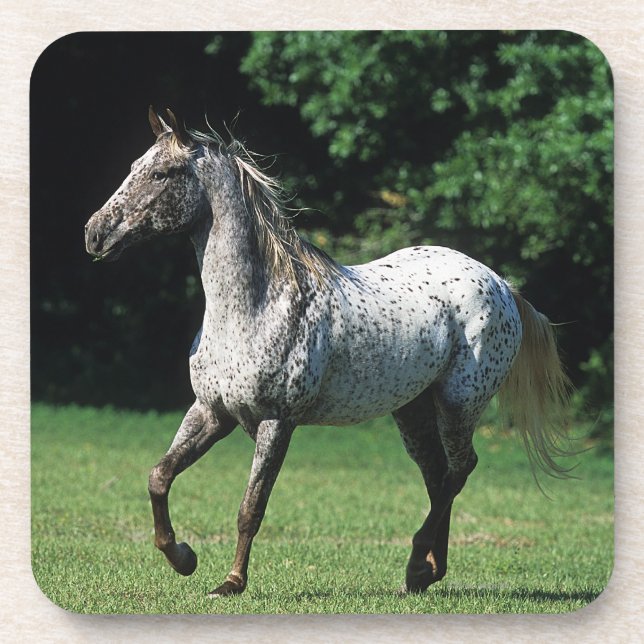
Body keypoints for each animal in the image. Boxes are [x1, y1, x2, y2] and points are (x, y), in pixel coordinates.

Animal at [84, 107, 571, 597]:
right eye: (134, 166)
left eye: (162, 173)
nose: (94, 234)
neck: (254, 305)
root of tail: (501, 284)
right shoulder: (211, 412)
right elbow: (159, 476)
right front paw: (183, 558)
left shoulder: (276, 422)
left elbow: (250, 508)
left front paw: (231, 582)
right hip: (413, 410)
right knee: (438, 476)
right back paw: (427, 572)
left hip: (459, 404)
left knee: (459, 470)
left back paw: (418, 564)